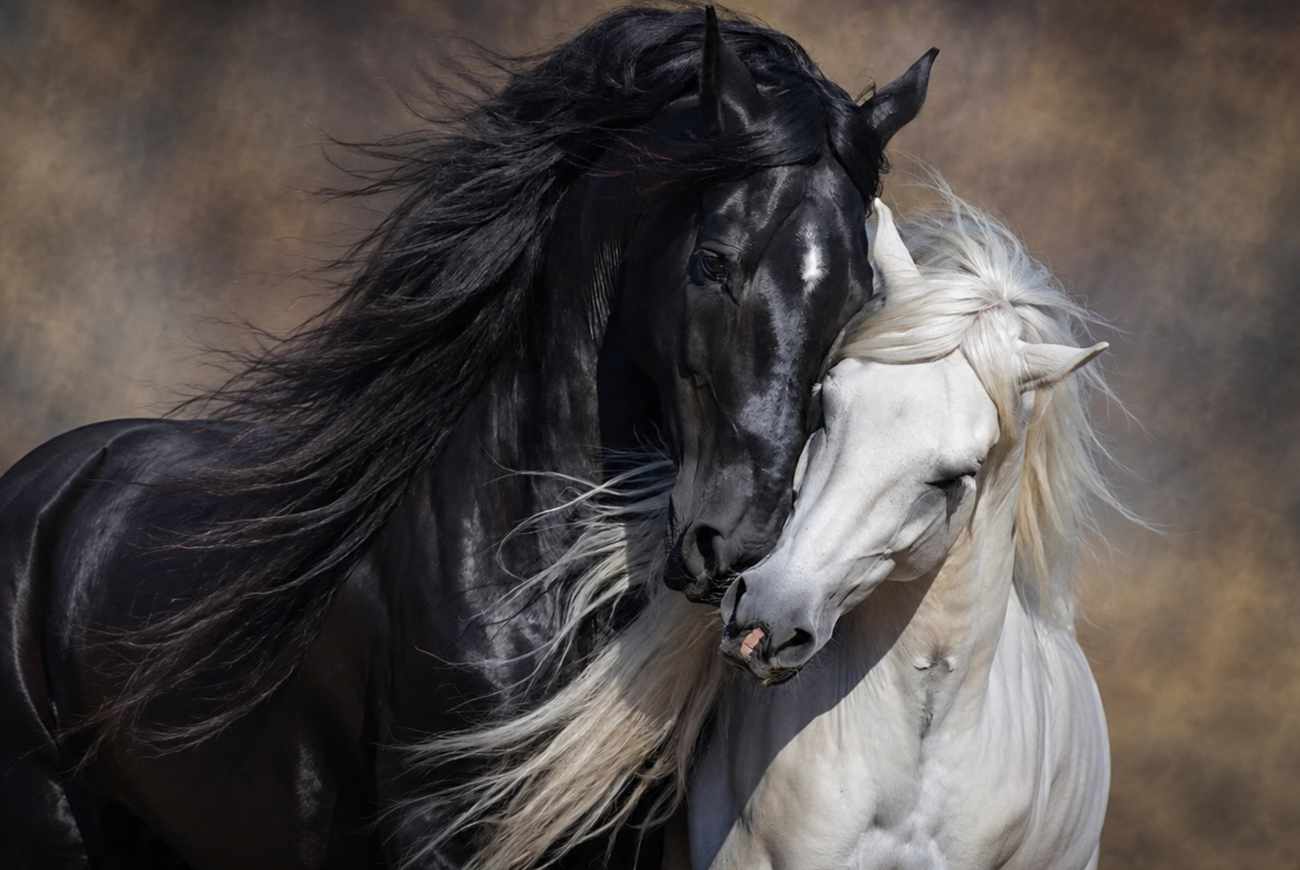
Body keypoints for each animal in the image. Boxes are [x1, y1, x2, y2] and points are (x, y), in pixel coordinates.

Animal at [0, 7, 937, 868]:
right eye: (714, 260)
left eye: (861, 290)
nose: (736, 541)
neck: (520, 562)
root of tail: (49, 485)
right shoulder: (436, 831)